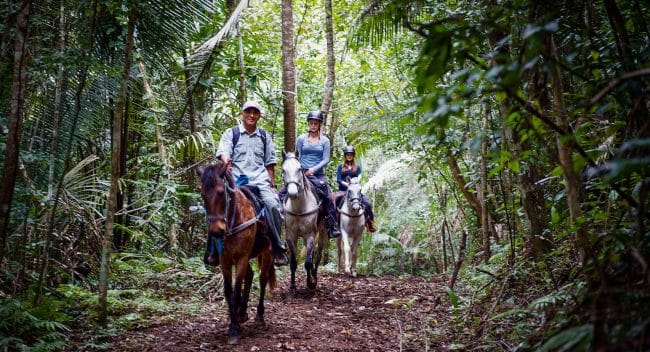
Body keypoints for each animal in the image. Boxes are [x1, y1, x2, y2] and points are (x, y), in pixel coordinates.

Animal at [197, 164, 278, 346]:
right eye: (203, 194)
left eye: (221, 192)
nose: (216, 231)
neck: (234, 218)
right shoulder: (225, 260)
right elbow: (228, 291)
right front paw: (233, 322)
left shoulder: (241, 257)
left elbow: (235, 292)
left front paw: (234, 329)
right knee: (250, 275)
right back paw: (242, 313)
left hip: (266, 253)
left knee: (262, 279)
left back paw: (259, 317)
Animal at [280, 151, 326, 294]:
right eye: (283, 170)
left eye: (299, 169)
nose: (293, 193)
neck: (299, 209)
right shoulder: (291, 236)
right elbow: (293, 262)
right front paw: (293, 287)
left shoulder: (310, 235)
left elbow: (307, 263)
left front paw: (310, 283)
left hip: (321, 233)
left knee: (317, 256)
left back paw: (314, 277)